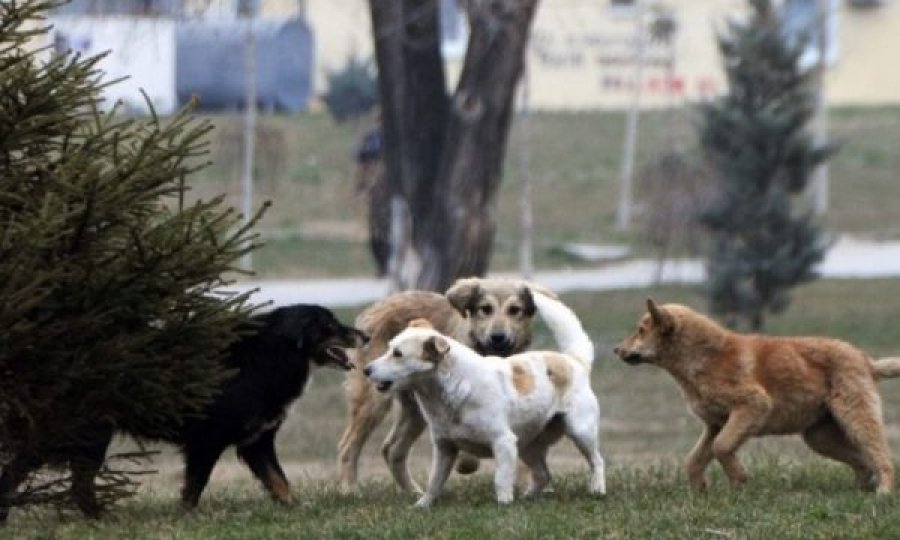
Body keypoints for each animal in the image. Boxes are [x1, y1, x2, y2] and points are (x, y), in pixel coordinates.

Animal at [0, 304, 368, 520]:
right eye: (330, 325)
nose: (364, 335)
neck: (269, 354)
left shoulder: (256, 442)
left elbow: (279, 481)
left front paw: (296, 509)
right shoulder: (207, 442)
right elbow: (194, 487)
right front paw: (186, 517)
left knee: (73, 483)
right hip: (82, 436)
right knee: (44, 475)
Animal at [336, 278, 552, 494]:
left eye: (515, 310)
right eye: (485, 309)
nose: (498, 337)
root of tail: (377, 306)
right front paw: (466, 462)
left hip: (415, 411)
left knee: (392, 449)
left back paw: (412, 491)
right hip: (373, 402)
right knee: (349, 446)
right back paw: (350, 489)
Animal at [362, 292, 608, 506]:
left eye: (398, 354)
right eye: (389, 348)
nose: (366, 370)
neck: (452, 390)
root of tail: (574, 361)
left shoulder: (503, 442)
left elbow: (501, 479)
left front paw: (504, 504)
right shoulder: (444, 448)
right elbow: (434, 481)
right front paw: (422, 505)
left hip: (580, 431)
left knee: (597, 461)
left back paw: (597, 489)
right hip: (528, 445)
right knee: (543, 474)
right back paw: (529, 497)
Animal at [612, 298, 900, 496]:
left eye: (640, 330)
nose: (616, 350)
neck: (704, 358)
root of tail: (866, 360)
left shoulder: (752, 405)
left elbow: (721, 448)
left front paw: (738, 481)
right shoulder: (715, 424)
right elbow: (694, 460)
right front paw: (700, 492)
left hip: (855, 417)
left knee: (881, 456)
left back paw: (883, 491)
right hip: (819, 437)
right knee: (863, 461)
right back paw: (862, 488)